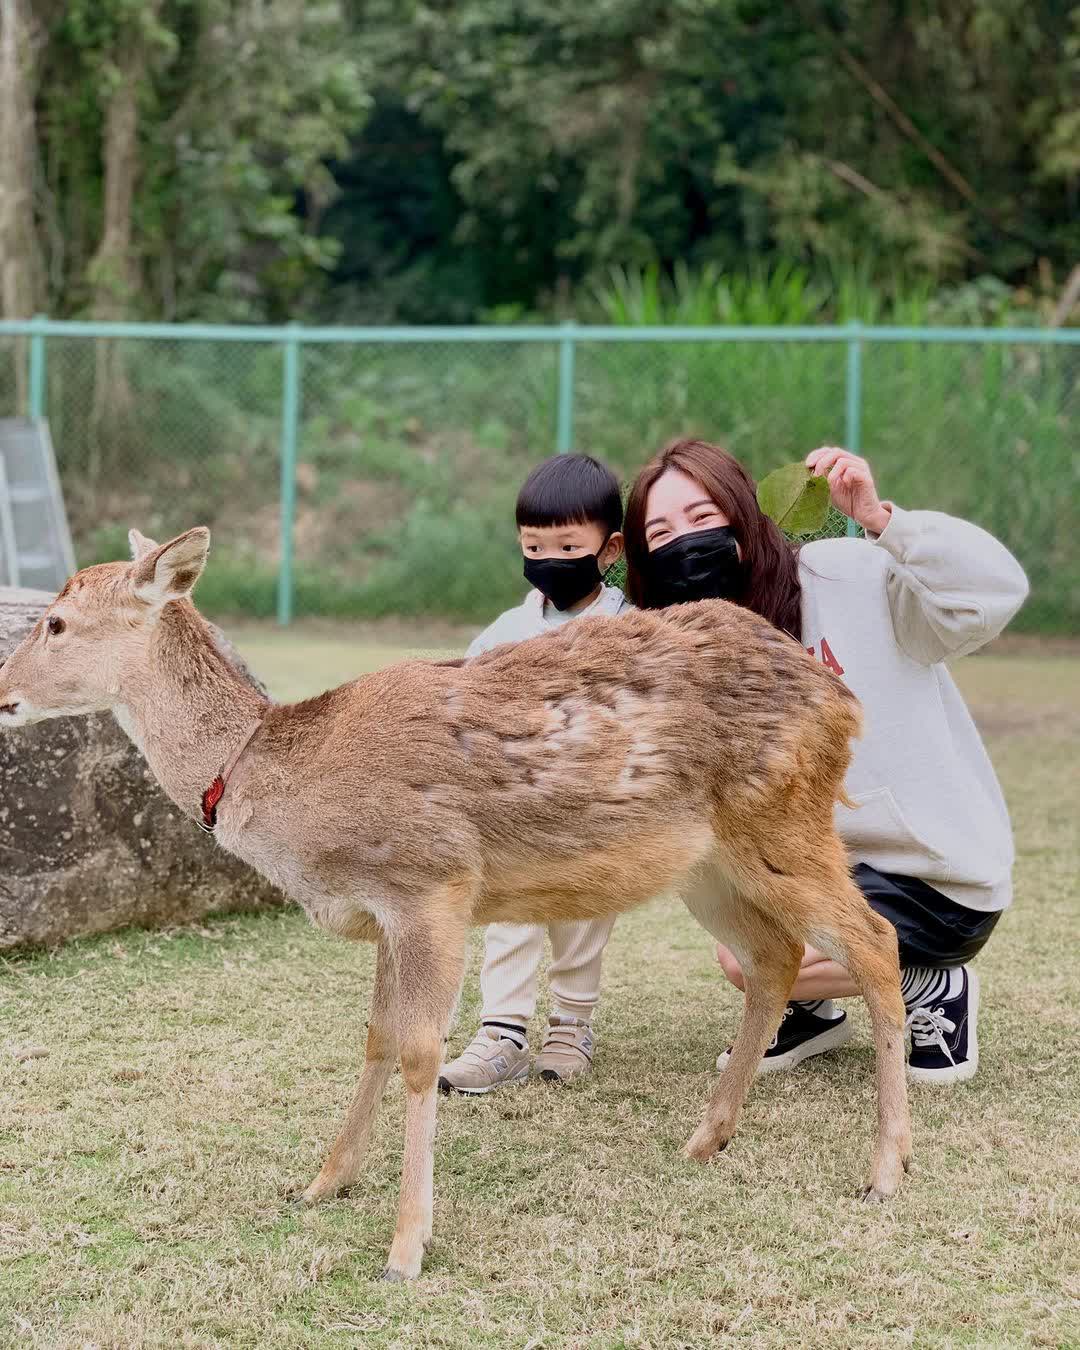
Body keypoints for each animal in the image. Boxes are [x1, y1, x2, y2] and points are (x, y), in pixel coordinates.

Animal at [0, 527, 912, 1280]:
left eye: (57, 623)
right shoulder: (380, 913)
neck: (285, 783)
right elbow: (373, 1037)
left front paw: (406, 1247)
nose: (3, 695)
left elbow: (417, 1053)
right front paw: (322, 1182)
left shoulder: (431, 882)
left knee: (875, 941)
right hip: (709, 867)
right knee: (774, 957)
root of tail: (844, 701)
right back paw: (706, 1138)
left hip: (786, 820)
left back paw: (884, 1171)